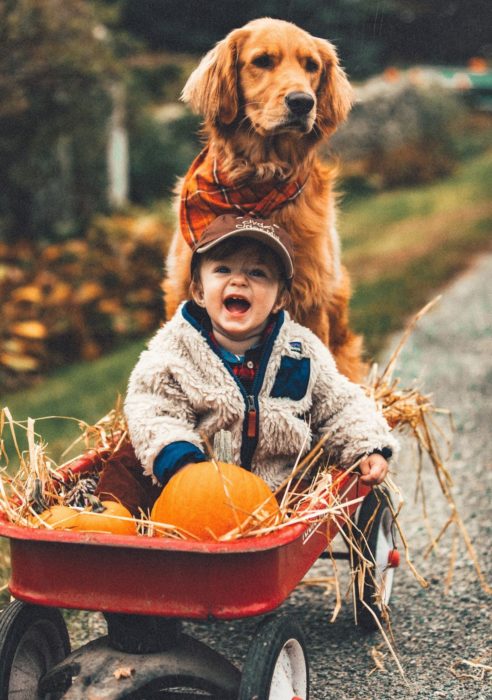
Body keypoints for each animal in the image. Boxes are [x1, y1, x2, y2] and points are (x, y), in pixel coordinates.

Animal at [164, 15, 366, 382]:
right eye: (262, 61)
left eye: (311, 66)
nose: (302, 102)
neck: (256, 184)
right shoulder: (182, 286)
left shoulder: (311, 296)